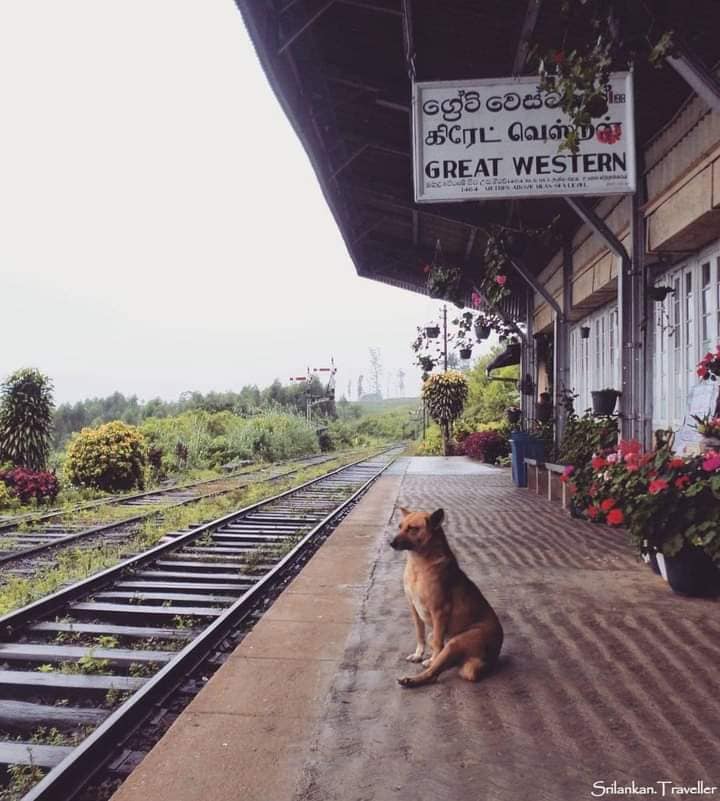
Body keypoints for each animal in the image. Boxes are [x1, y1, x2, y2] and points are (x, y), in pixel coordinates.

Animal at [390, 506, 504, 688]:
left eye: (413, 529)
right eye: (400, 526)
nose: (391, 543)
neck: (418, 565)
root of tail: (493, 658)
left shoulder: (439, 611)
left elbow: (438, 644)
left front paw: (430, 659)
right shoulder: (414, 609)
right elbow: (419, 634)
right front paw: (419, 654)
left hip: (454, 643)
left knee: (434, 672)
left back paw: (413, 678)